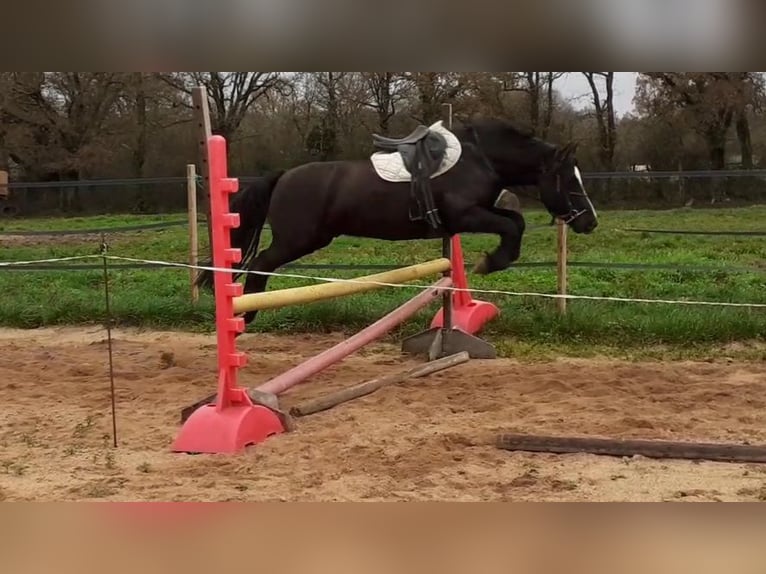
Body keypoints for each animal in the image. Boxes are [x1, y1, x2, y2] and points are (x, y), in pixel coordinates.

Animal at [198, 118, 600, 328]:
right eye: (570, 180)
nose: (591, 222)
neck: (481, 159)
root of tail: (283, 176)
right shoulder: (466, 216)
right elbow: (513, 227)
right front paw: (491, 262)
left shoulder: (476, 214)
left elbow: (515, 220)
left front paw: (492, 261)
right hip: (299, 239)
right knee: (261, 263)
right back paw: (246, 313)